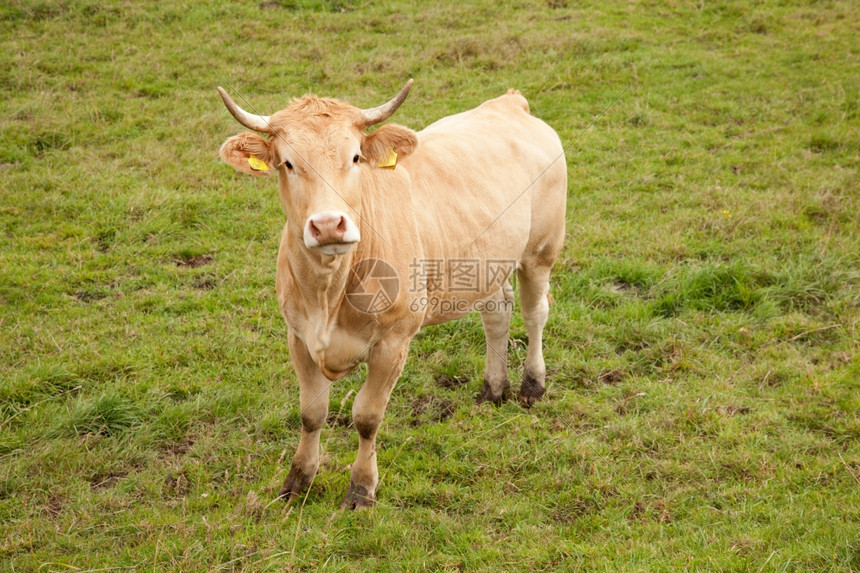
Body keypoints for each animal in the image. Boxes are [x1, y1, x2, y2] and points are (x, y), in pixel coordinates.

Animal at [218, 78, 568, 508]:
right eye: (287, 163)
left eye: (355, 157)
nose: (329, 225)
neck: (330, 293)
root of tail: (510, 104)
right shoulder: (297, 337)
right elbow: (311, 413)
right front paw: (297, 480)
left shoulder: (393, 341)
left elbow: (367, 416)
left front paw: (361, 488)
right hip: (485, 262)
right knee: (497, 313)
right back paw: (493, 388)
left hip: (541, 250)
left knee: (536, 313)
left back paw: (532, 385)